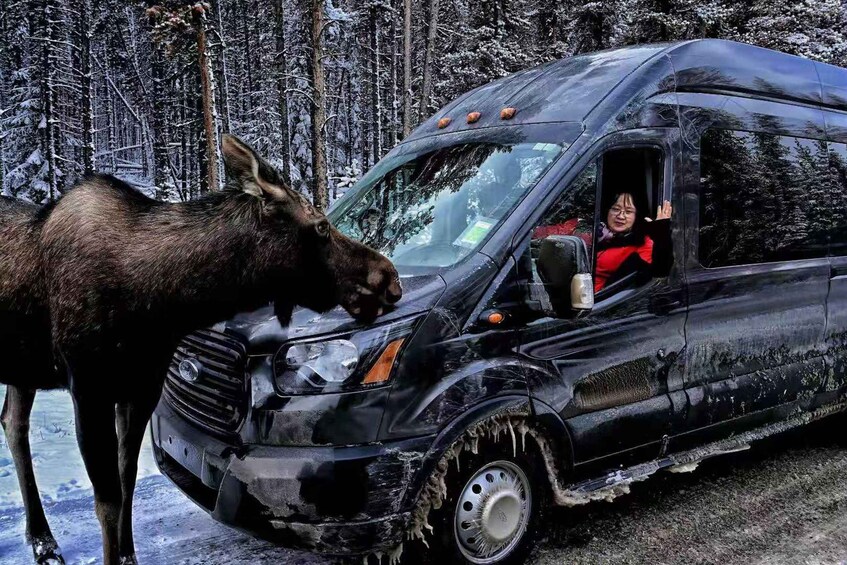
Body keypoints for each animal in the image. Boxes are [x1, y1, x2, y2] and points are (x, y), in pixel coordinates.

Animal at [0, 134, 402, 565]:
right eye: (321, 226)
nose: (390, 277)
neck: (161, 305)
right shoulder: (90, 389)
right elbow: (108, 500)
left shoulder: (141, 389)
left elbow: (127, 483)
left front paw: (129, 556)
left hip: (23, 368)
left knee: (12, 422)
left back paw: (43, 540)